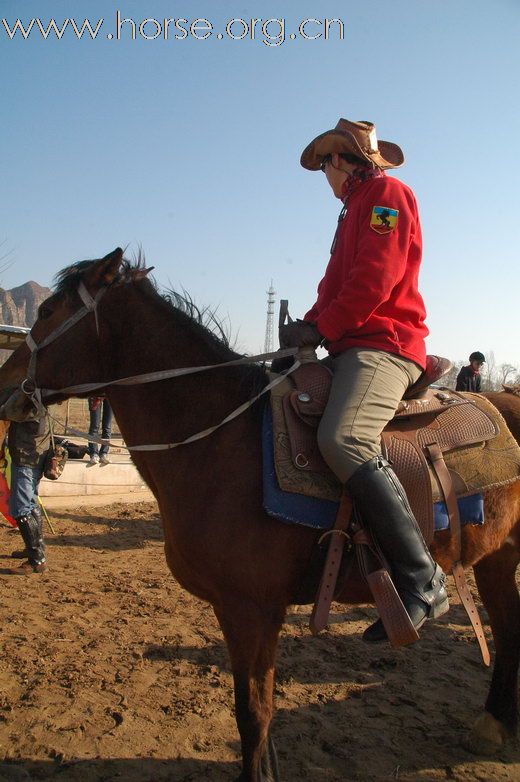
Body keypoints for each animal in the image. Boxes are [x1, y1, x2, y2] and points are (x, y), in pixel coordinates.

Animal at [0, 248, 516, 780]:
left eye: (47, 312)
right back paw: (493, 724)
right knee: (510, 636)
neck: (220, 440)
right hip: (497, 560)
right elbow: (258, 720)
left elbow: (253, 714)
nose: (4, 385)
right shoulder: (242, 611)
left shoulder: (251, 609)